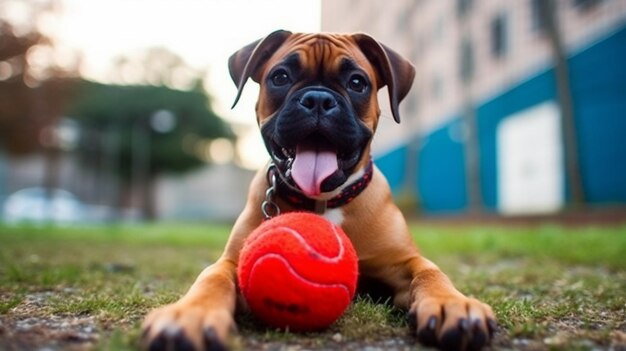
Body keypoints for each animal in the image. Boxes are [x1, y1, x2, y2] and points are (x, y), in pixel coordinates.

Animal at [140, 31, 492, 351]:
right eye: (280, 77)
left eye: (357, 82)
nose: (318, 100)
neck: (324, 201)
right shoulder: (231, 262)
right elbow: (211, 278)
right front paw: (190, 314)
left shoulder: (403, 262)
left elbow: (430, 272)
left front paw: (453, 304)